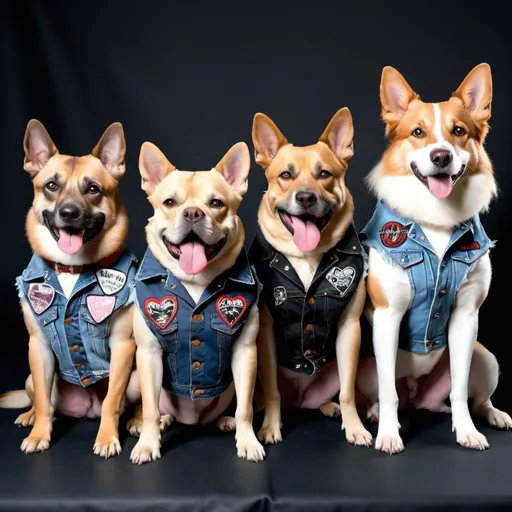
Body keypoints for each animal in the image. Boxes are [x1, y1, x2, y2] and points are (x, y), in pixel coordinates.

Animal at [0, 119, 139, 456]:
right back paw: (30, 415)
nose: (69, 213)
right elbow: (44, 402)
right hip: (30, 376)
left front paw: (107, 438)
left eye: (93, 189)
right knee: (42, 400)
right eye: (51, 186)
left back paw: (140, 420)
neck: (72, 268)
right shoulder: (38, 346)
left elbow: (112, 402)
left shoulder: (124, 346)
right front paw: (39, 433)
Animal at [128, 139, 266, 464]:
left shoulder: (246, 353)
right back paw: (151, 422)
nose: (192, 213)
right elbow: (151, 407)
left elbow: (245, 408)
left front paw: (248, 440)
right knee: (151, 406)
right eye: (169, 203)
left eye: (216, 203)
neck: (195, 282)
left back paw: (224, 420)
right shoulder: (148, 354)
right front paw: (148, 443)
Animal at [248, 109, 372, 448]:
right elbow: (273, 392)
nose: (305, 198)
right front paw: (271, 426)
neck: (306, 256)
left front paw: (354, 426)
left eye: (324, 174)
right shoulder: (266, 332)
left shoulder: (350, 329)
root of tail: (300, 401)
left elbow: (347, 392)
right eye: (286, 175)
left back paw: (329, 407)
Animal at [356, 62, 512, 454]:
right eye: (417, 132)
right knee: (387, 393)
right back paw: (378, 414)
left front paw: (467, 431)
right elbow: (388, 391)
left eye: (458, 131)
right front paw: (389, 435)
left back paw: (493, 414)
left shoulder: (466, 318)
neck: (435, 220)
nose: (441, 156)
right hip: (364, 363)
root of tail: (419, 395)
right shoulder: (387, 317)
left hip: (486, 356)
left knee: (474, 397)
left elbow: (459, 389)